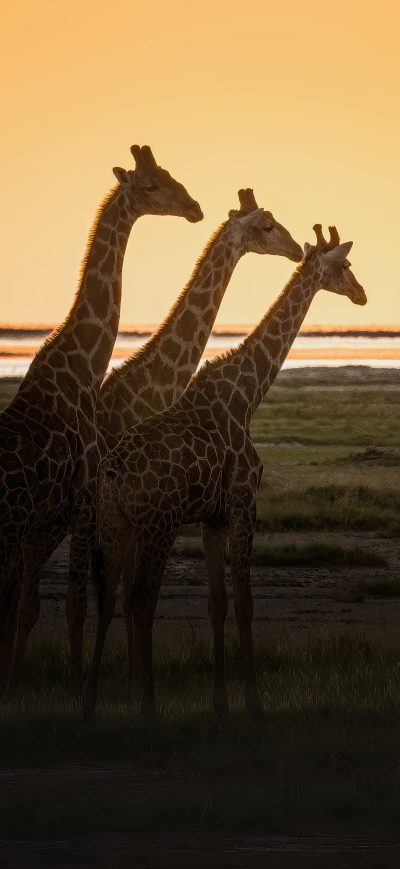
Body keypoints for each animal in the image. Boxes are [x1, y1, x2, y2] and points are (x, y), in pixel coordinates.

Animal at [0, 144, 202, 693]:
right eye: (151, 185)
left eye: (171, 173)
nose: (195, 207)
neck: (81, 367)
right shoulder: (82, 494)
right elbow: (71, 604)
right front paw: (74, 686)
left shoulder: (55, 512)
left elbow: (35, 606)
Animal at [83, 224, 367, 720]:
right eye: (345, 266)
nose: (363, 295)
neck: (248, 393)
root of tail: (113, 473)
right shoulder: (243, 502)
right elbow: (246, 602)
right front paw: (253, 703)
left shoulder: (211, 517)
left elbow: (217, 604)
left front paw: (220, 703)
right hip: (158, 523)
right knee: (140, 598)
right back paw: (148, 707)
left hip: (116, 523)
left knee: (108, 594)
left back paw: (91, 705)